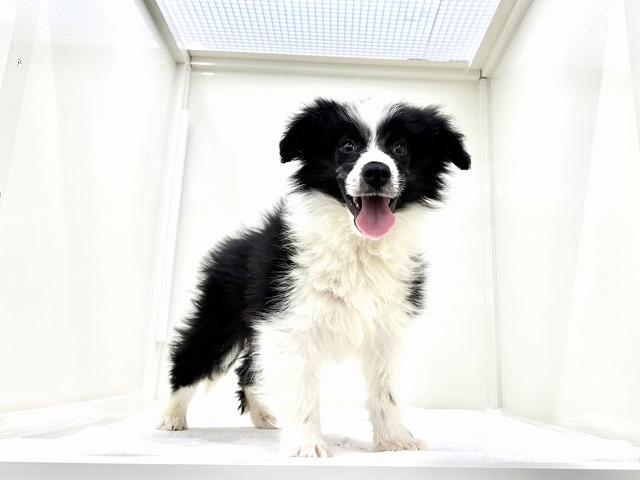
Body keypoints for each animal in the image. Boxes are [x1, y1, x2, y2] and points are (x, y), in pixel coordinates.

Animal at [158, 98, 470, 457]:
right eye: (346, 146)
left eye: (400, 148)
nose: (376, 171)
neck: (357, 244)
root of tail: (234, 243)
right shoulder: (288, 322)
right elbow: (300, 389)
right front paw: (307, 444)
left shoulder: (386, 327)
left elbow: (386, 387)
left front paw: (395, 440)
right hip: (221, 317)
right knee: (191, 355)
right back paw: (171, 416)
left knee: (249, 370)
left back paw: (262, 416)